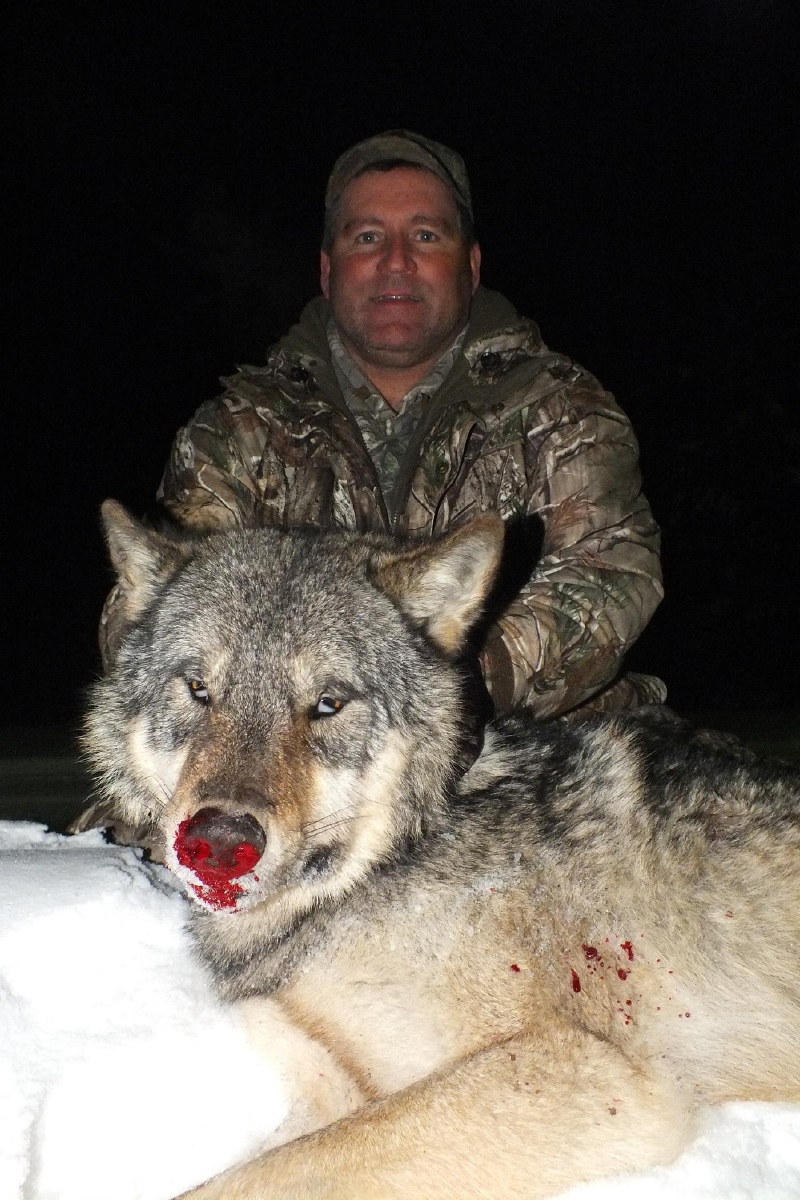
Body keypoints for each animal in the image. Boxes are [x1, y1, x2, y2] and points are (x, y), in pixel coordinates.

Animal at [83, 500, 800, 1200]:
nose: (217, 843)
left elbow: (257, 1181)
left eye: (328, 703)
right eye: (199, 689)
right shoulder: (333, 1084)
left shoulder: (590, 1074)